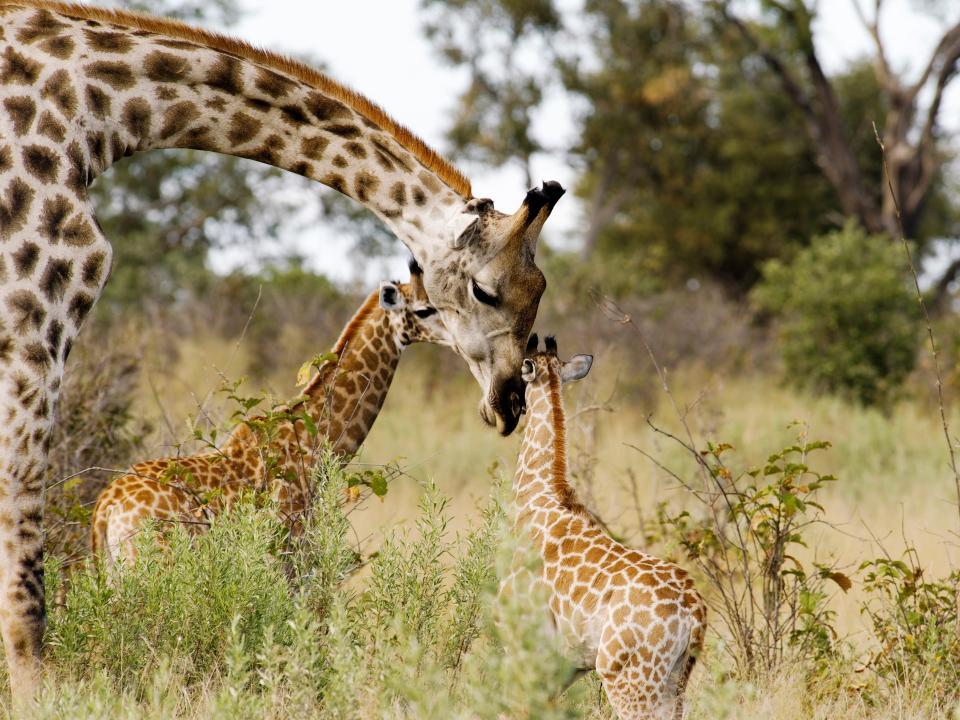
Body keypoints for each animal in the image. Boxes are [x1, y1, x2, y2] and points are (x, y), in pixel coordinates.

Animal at [510, 338, 704, 720]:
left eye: (519, 376)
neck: (538, 493)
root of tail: (694, 611)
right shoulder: (566, 663)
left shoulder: (523, 640)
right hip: (674, 680)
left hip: (627, 677)